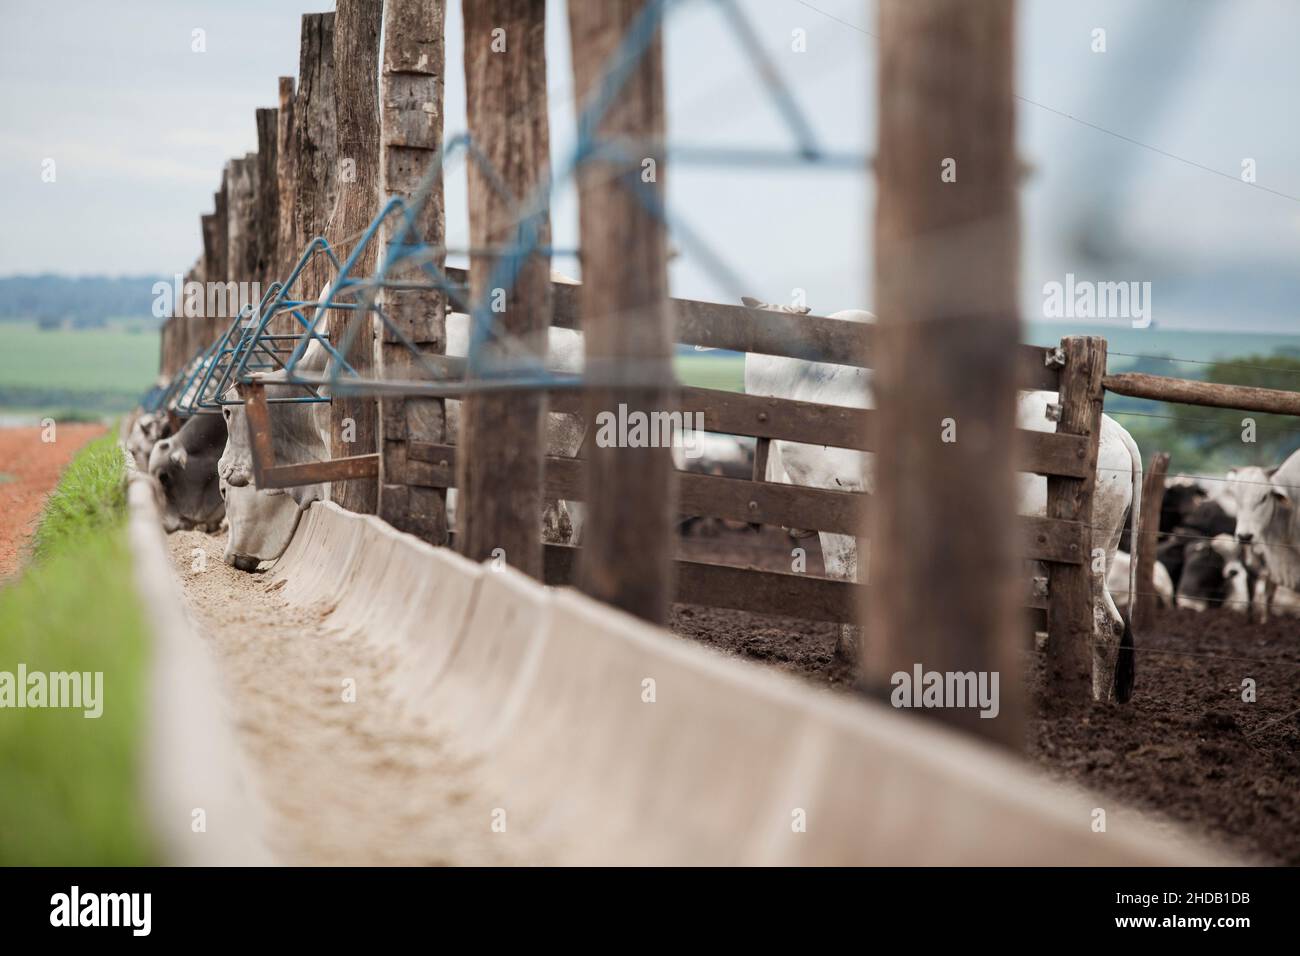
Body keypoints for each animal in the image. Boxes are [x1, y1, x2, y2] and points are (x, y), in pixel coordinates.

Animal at [740, 297, 1143, 702]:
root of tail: (1119, 436)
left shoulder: (833, 500)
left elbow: (843, 582)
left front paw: (843, 664)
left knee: (1103, 624)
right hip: (1098, 551)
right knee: (1110, 624)